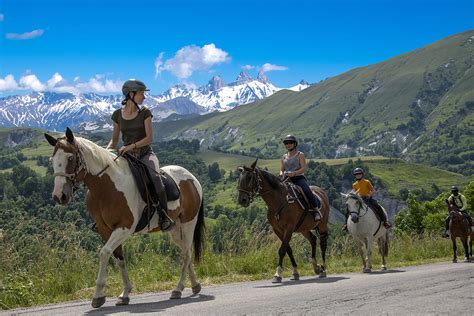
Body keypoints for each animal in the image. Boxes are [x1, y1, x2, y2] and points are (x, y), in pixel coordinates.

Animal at [45, 127, 206, 308]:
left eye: (70, 158)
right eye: (52, 160)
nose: (59, 195)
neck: (107, 186)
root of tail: (192, 178)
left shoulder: (124, 227)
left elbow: (104, 253)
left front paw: (98, 295)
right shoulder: (105, 229)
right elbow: (119, 258)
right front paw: (125, 293)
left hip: (188, 224)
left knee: (186, 254)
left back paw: (178, 289)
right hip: (175, 229)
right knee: (186, 252)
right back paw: (195, 285)